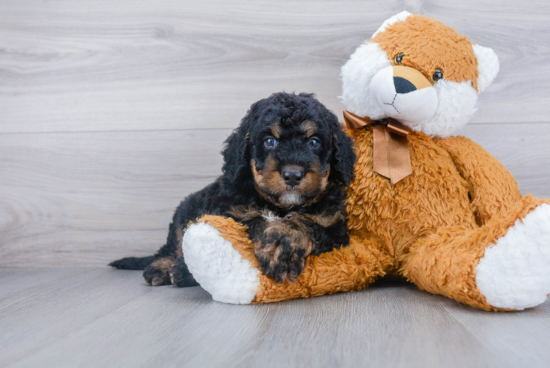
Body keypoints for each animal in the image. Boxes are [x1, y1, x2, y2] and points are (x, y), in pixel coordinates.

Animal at [111, 91, 358, 284]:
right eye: (269, 141)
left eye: (314, 142)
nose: (292, 175)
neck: (279, 206)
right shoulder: (230, 213)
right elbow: (255, 222)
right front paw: (277, 248)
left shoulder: (333, 226)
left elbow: (303, 222)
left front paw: (283, 242)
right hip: (184, 212)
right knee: (172, 246)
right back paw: (163, 268)